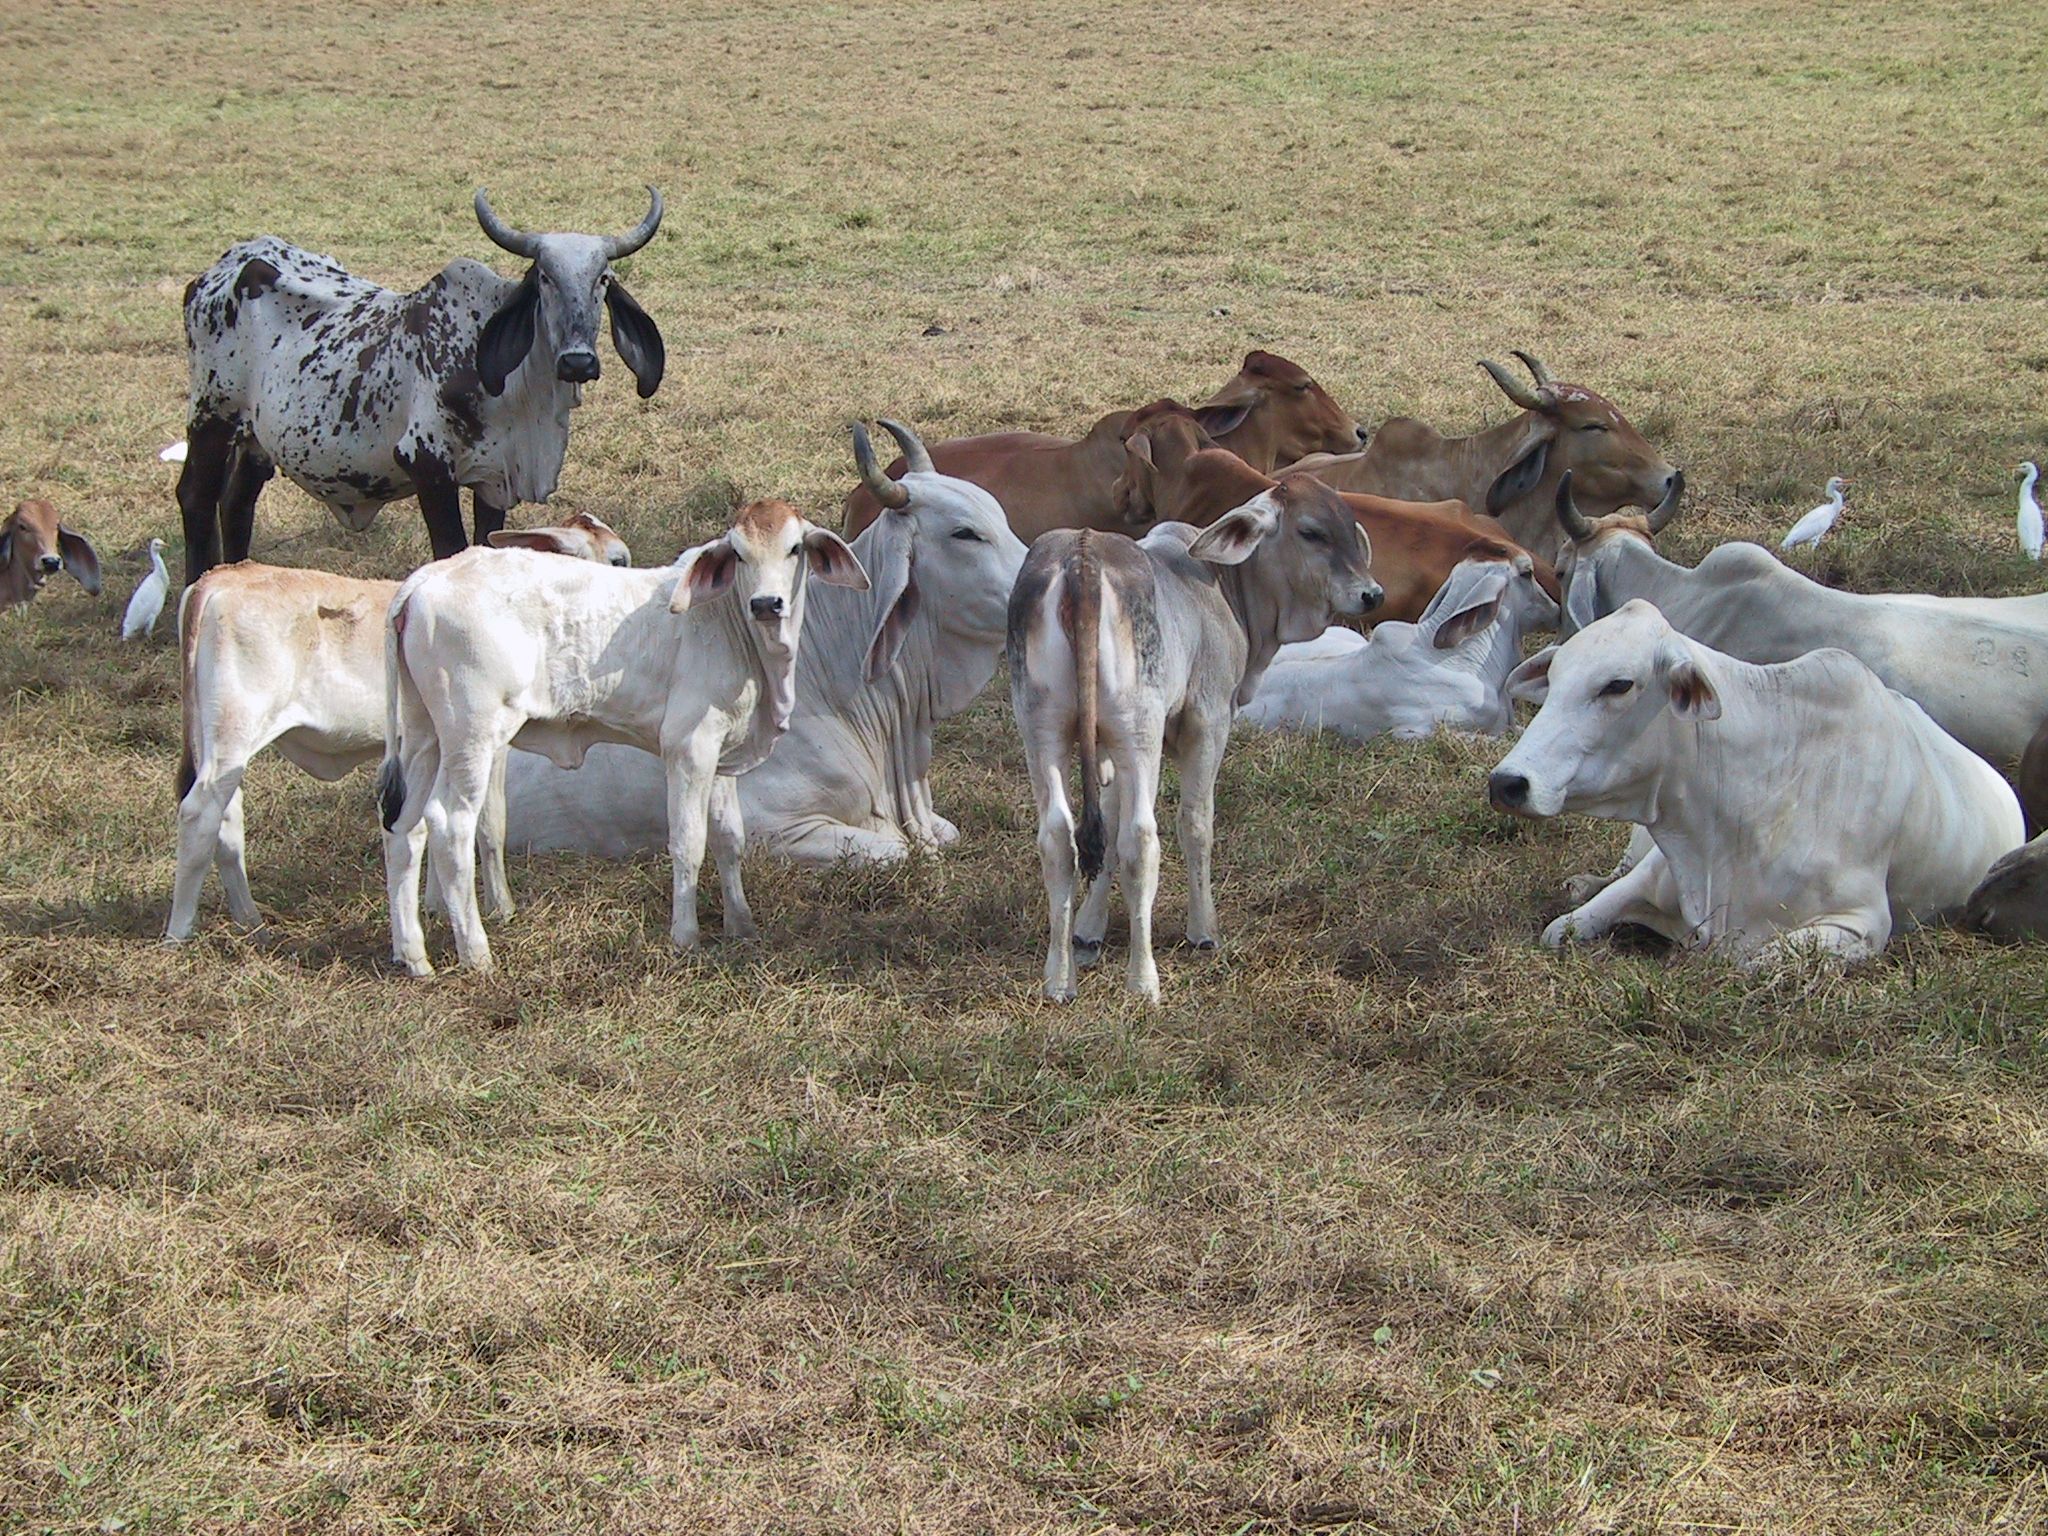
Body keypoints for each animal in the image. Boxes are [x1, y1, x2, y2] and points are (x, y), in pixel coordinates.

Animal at [164, 514, 631, 942]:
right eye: (618, 560)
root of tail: (223, 575)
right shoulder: (491, 744)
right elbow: (489, 824)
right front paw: (501, 908)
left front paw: (436, 906)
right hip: (235, 731)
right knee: (199, 813)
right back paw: (180, 930)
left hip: (219, 745)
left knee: (226, 822)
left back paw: (250, 919)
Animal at [175, 188, 665, 584]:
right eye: (544, 277)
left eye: (603, 279)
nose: (578, 361)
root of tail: (225, 265)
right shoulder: (427, 466)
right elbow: (451, 551)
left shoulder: (493, 479)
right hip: (211, 416)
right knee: (197, 496)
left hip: (256, 437)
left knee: (237, 501)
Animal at [379, 500, 867, 976]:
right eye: (739, 553)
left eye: (794, 548)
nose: (766, 603)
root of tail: (428, 578)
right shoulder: (688, 747)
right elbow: (688, 843)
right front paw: (685, 936)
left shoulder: (724, 753)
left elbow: (730, 837)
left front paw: (741, 923)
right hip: (473, 736)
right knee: (450, 825)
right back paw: (476, 953)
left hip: (425, 737)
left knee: (406, 827)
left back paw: (413, 954)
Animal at [1009, 474, 1383, 1003]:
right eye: (1312, 532)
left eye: (1351, 527)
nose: (1372, 595)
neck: (1218, 585)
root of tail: (1084, 554)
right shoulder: (1207, 719)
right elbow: (1195, 823)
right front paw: (1203, 929)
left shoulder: (1112, 751)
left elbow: (1109, 828)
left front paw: (1087, 931)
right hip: (1138, 730)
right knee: (1142, 841)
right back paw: (1143, 980)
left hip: (1043, 729)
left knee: (1060, 839)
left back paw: (1059, 980)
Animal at [1487, 600, 2023, 966]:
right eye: (1555, 677)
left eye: (1618, 685)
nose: (1507, 783)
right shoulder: (1656, 868)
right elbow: (1563, 928)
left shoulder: (1863, 923)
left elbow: (1752, 964)